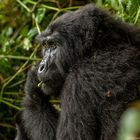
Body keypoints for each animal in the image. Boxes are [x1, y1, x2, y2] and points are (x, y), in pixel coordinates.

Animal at [15, 3, 140, 140]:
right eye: (46, 46)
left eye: (53, 45)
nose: (41, 66)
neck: (98, 49)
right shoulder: (128, 32)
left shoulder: (78, 81)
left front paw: (32, 89)